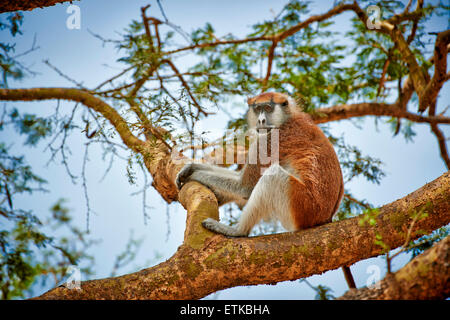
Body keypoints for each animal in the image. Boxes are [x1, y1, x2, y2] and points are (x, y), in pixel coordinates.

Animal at [176, 92, 344, 238]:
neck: (286, 119)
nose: (261, 120)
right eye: (257, 109)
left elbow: (244, 186)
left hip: (302, 206)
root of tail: (323, 218)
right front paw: (191, 167)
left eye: (268, 108)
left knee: (273, 176)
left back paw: (238, 231)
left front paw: (194, 174)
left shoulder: (271, 140)